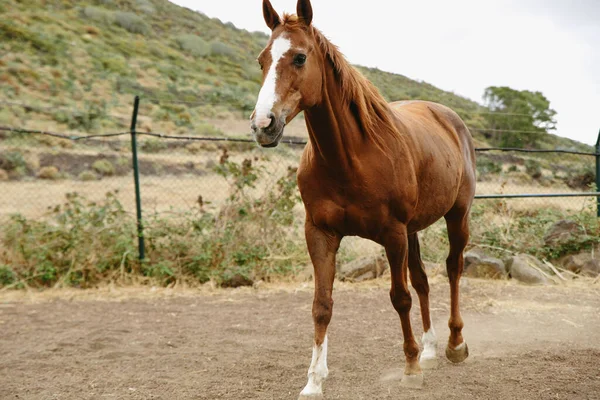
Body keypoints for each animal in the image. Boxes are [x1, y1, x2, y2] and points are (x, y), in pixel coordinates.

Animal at [251, 0, 476, 396]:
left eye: (299, 57)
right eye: (262, 60)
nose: (264, 124)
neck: (349, 158)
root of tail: (449, 118)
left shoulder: (393, 234)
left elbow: (399, 298)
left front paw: (410, 368)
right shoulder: (320, 234)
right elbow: (322, 305)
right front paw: (314, 381)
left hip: (456, 216)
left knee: (453, 269)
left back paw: (454, 344)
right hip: (414, 230)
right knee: (423, 280)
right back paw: (431, 349)